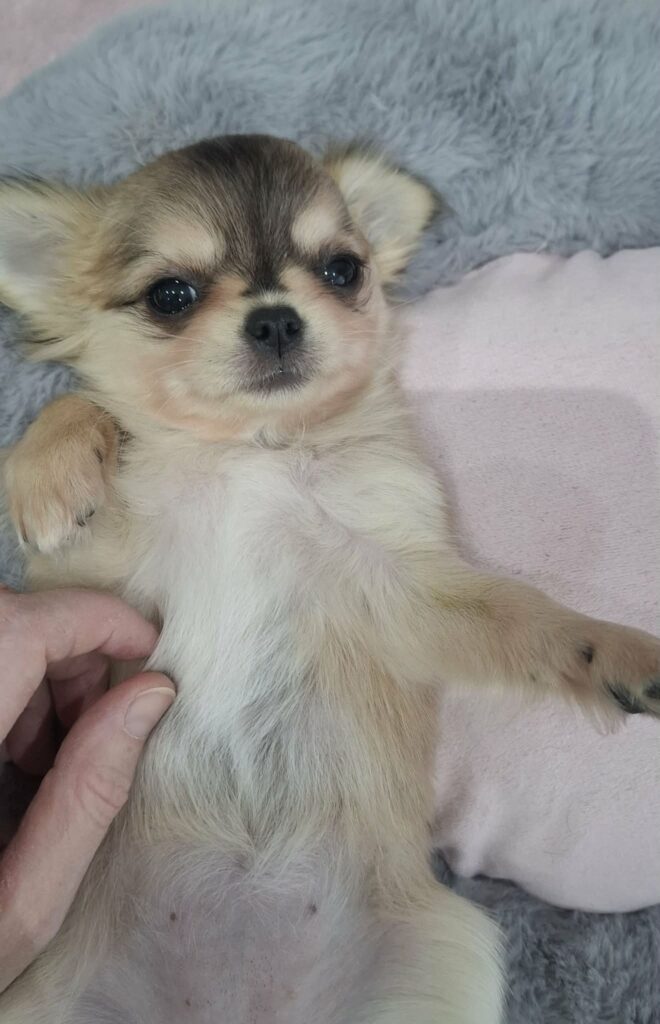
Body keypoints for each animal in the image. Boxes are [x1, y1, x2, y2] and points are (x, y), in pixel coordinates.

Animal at [0, 135, 659, 1024]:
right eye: (170, 294)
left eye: (343, 269)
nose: (277, 316)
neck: (255, 451)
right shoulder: (96, 583)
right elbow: (74, 419)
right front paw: (52, 472)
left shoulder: (397, 579)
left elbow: (525, 616)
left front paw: (616, 653)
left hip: (444, 959)